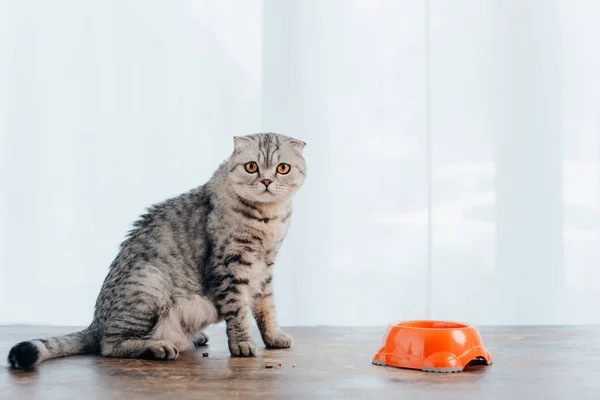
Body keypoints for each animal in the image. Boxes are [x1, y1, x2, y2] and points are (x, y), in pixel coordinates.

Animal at [8, 133, 310, 370]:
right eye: (251, 167)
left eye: (283, 168)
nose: (267, 181)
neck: (268, 219)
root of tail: (95, 323)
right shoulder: (229, 267)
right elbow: (239, 313)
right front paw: (243, 344)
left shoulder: (264, 269)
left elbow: (267, 309)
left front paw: (274, 338)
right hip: (150, 285)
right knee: (109, 345)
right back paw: (158, 347)